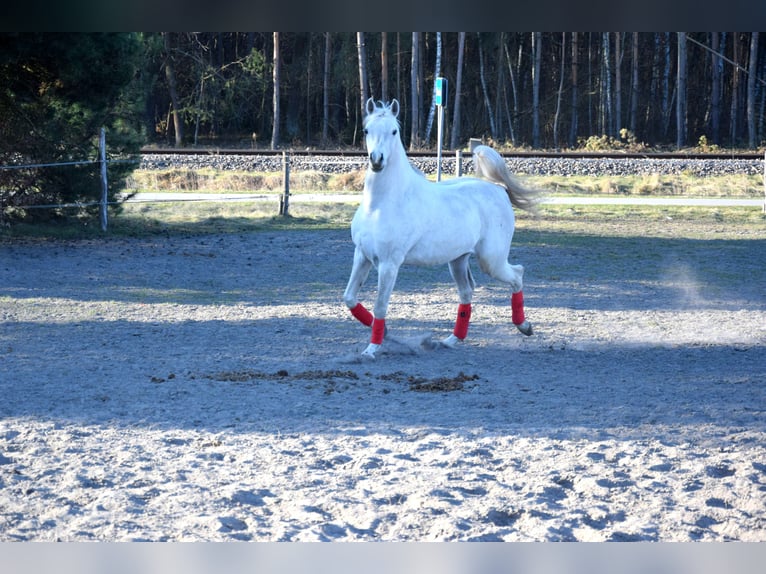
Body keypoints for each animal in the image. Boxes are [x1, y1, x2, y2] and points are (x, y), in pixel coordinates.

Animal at [343, 98, 539, 358]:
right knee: (466, 293)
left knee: (517, 274)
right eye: (366, 130)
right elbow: (350, 298)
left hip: (491, 260)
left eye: (394, 131)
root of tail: (498, 189)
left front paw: (372, 348)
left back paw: (524, 326)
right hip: (458, 260)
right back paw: (451, 340)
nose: (377, 160)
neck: (381, 204)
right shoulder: (362, 256)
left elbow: (381, 305)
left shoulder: (389, 264)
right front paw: (385, 334)